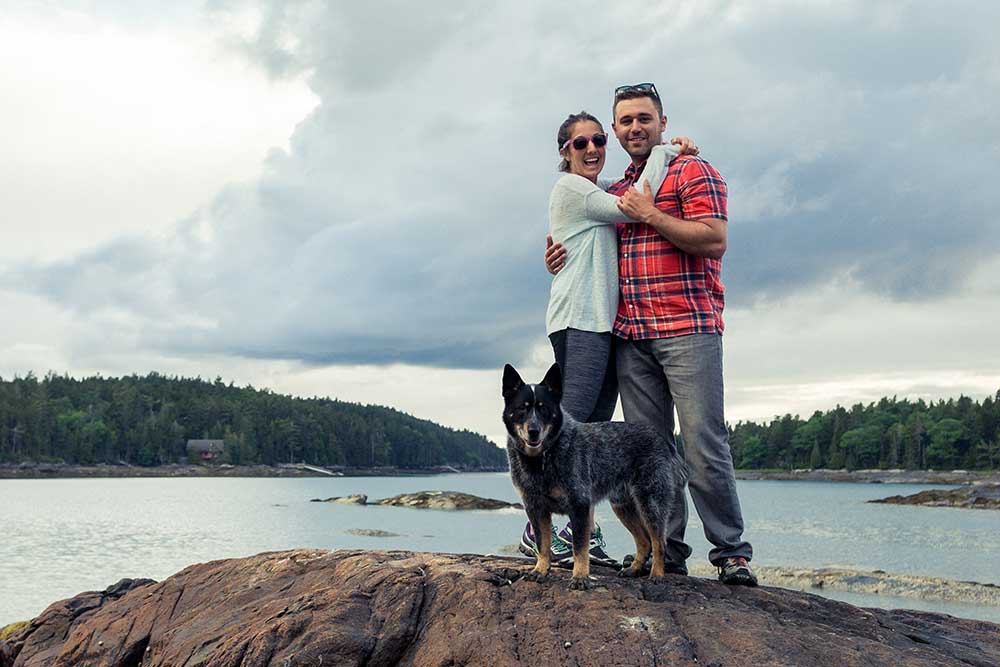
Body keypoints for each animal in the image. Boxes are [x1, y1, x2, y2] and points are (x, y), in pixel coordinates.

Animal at [500, 366, 688, 588]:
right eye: (522, 408)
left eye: (543, 408)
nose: (534, 431)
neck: (543, 458)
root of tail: (662, 439)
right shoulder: (535, 508)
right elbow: (542, 544)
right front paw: (540, 570)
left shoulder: (579, 505)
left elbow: (580, 549)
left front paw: (580, 577)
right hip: (623, 506)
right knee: (643, 541)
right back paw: (633, 569)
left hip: (651, 502)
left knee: (659, 542)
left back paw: (657, 574)